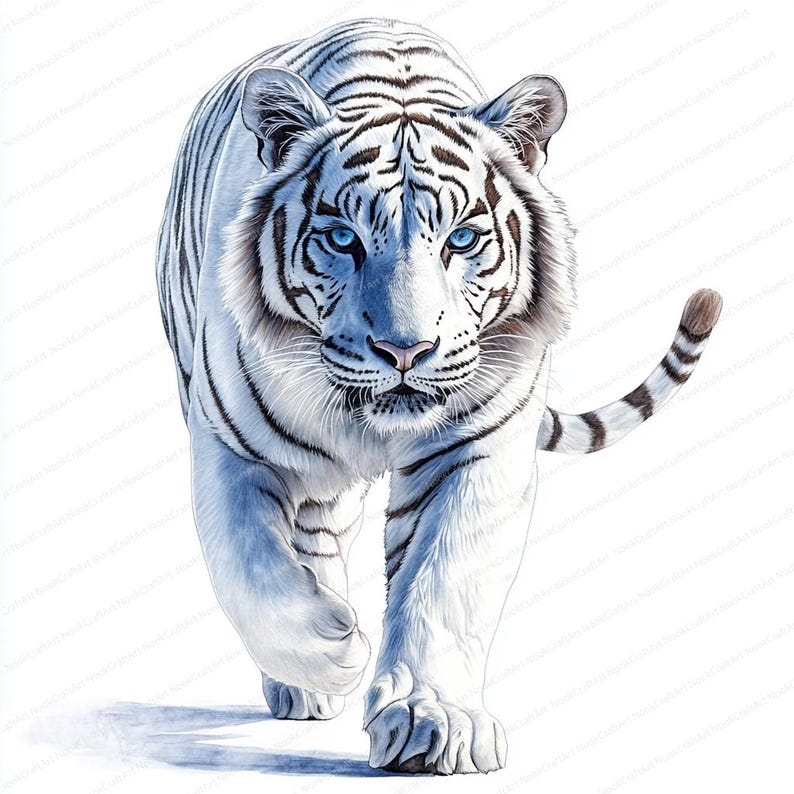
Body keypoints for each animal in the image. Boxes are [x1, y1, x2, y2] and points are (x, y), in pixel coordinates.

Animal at [156, 17, 722, 775]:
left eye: (463, 239)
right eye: (342, 238)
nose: (406, 351)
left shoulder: (477, 453)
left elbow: (446, 582)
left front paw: (434, 725)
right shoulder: (229, 447)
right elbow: (249, 568)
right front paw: (335, 650)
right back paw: (308, 678)